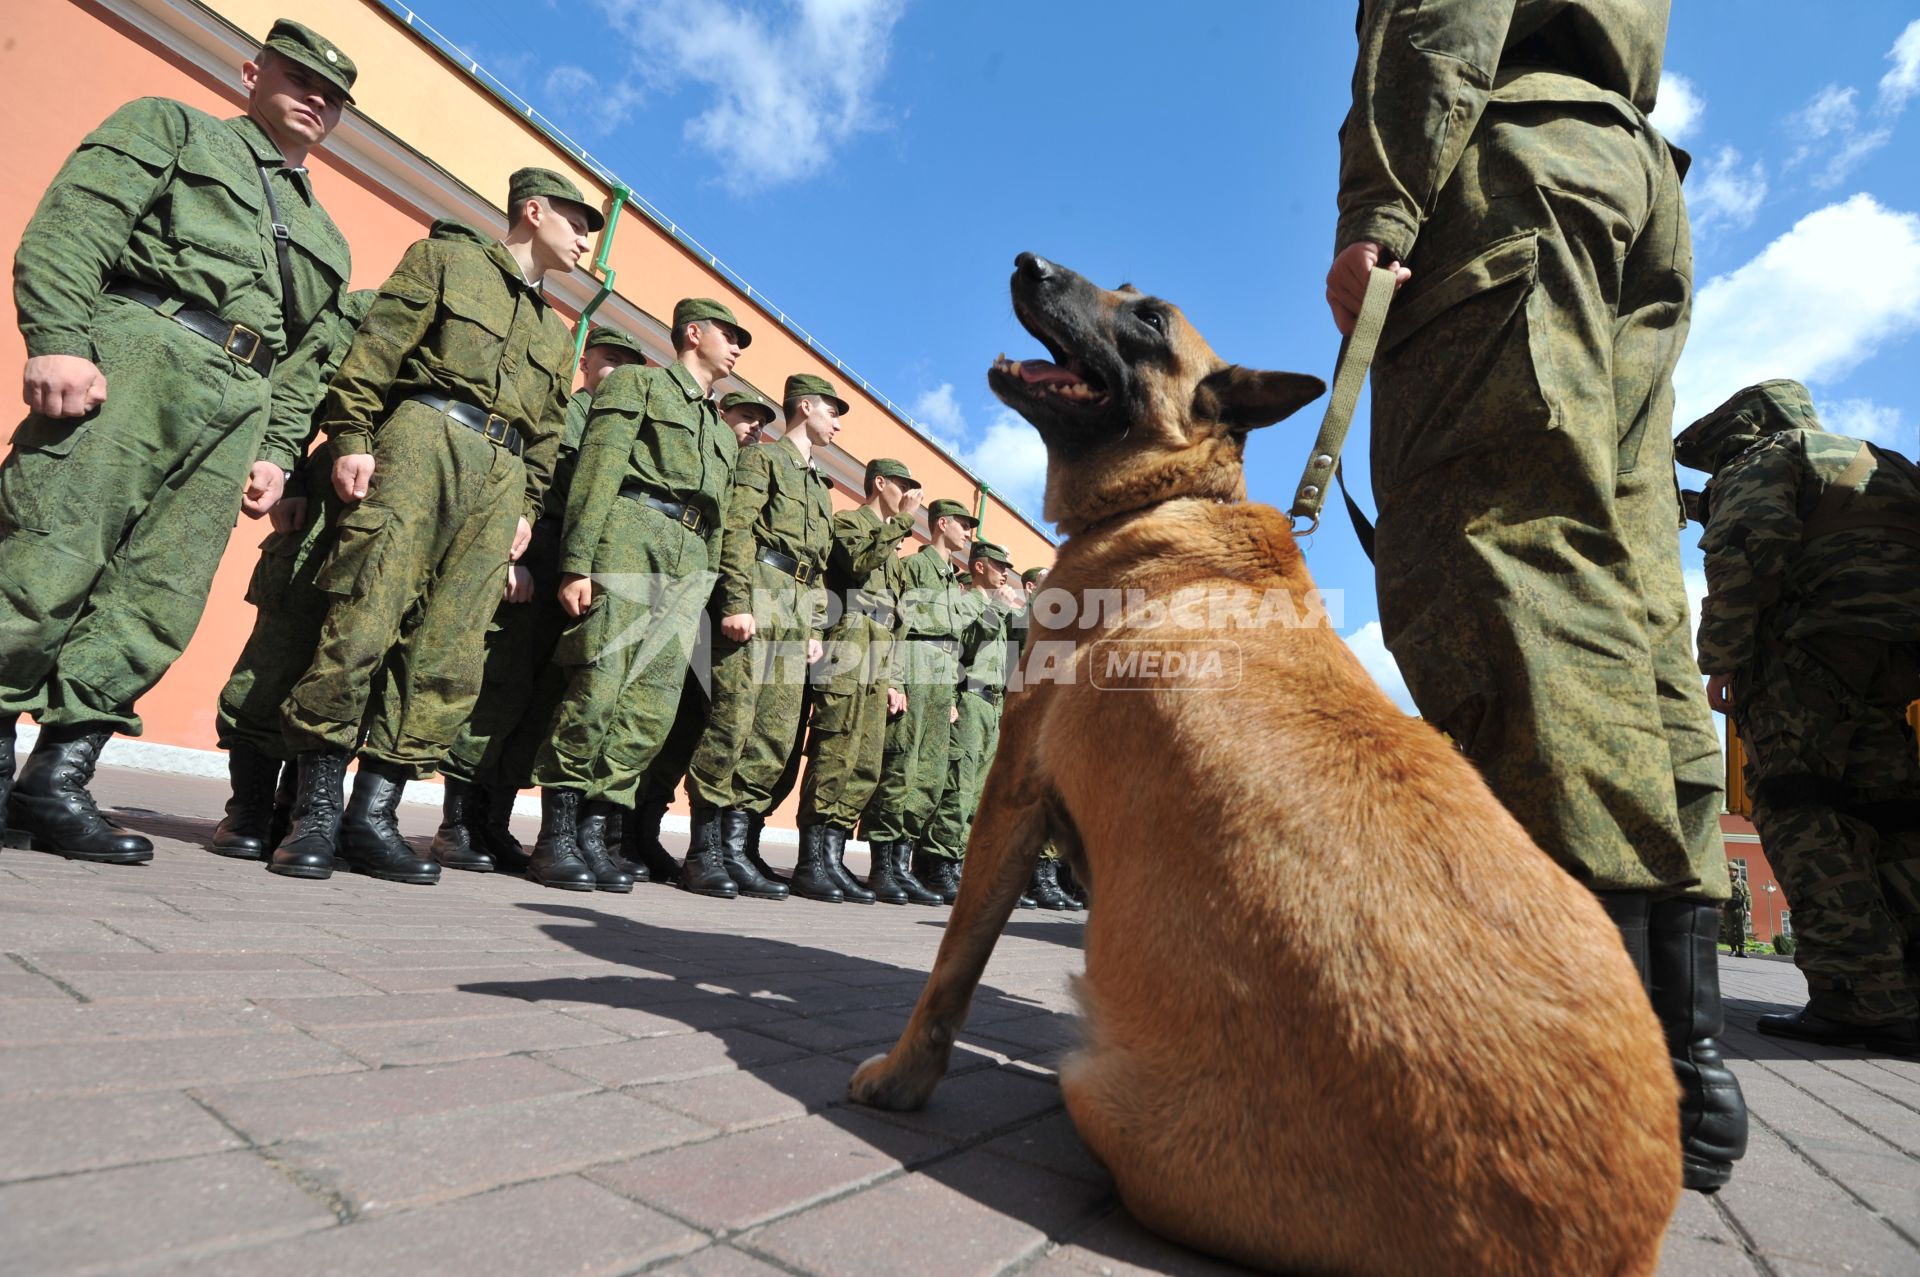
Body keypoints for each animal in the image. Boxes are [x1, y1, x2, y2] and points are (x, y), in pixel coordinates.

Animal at [856, 253, 1681, 1267]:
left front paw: (900, 1076)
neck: (1173, 496)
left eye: (1150, 320)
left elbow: (952, 967)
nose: (1029, 262)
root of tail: (1607, 1248)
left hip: (1102, 1085)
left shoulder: (1009, 792)